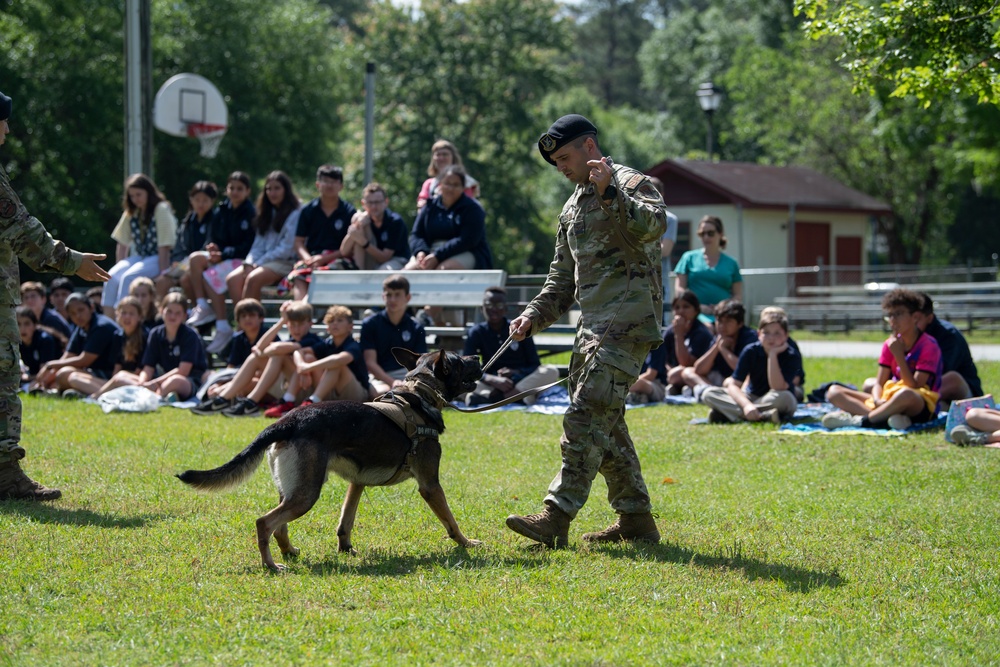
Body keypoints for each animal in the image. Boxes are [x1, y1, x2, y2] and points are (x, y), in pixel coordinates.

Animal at [179, 348, 484, 572]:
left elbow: (345, 521)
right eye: (459, 361)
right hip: (307, 494)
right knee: (265, 523)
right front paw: (466, 542)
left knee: (279, 526)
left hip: (292, 489)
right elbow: (451, 521)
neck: (419, 394)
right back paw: (270, 565)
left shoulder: (357, 483)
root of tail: (287, 421)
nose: (479, 357)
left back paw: (289, 552)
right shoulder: (430, 485)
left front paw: (345, 548)